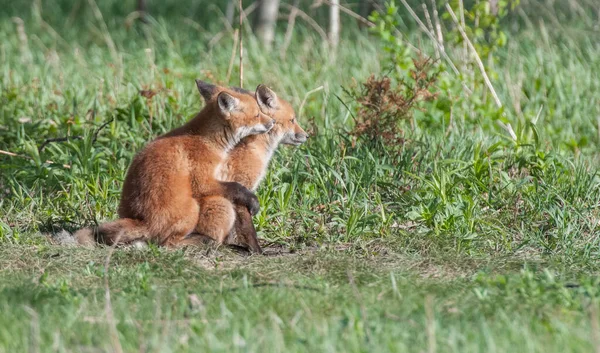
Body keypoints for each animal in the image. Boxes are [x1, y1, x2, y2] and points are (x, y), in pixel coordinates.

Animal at [73, 83, 276, 248]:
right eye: (257, 114)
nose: (273, 122)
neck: (208, 141)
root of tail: (143, 221)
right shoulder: (202, 180)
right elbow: (235, 187)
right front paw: (251, 200)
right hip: (192, 210)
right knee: (167, 243)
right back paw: (203, 241)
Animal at [182, 82, 310, 253]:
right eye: (292, 120)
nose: (307, 136)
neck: (255, 148)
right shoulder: (241, 188)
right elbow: (248, 229)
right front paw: (257, 251)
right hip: (220, 204)